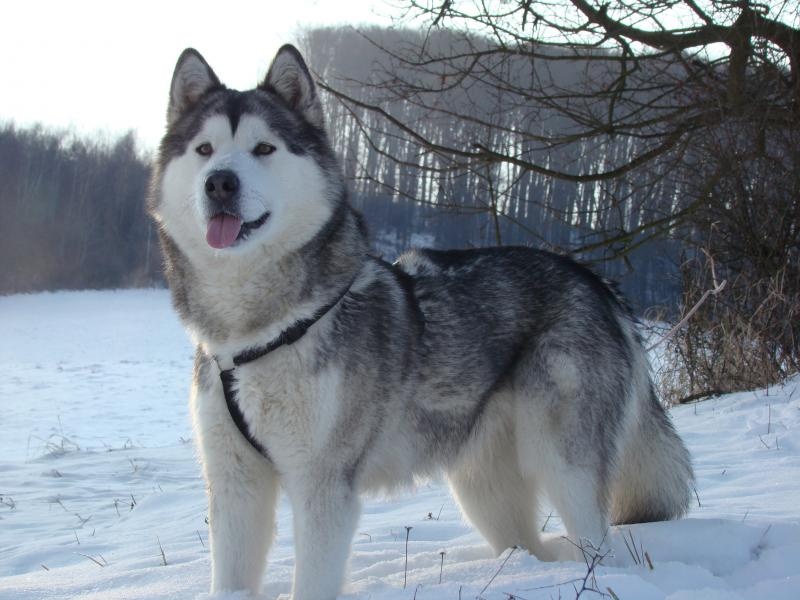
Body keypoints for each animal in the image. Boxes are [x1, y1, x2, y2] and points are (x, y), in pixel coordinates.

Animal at [148, 44, 692, 596]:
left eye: (263, 148)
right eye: (205, 149)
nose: (220, 182)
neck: (256, 332)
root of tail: (596, 282)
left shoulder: (323, 484)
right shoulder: (235, 483)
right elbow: (229, 579)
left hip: (565, 464)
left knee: (597, 546)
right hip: (482, 486)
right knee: (527, 544)